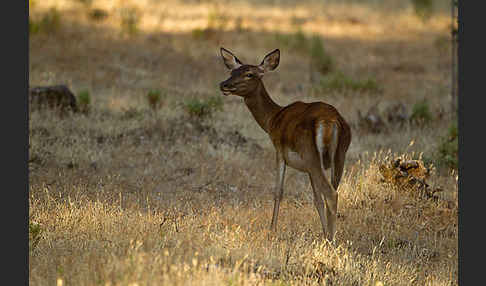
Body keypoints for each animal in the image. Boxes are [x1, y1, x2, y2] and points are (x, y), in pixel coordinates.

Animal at [218, 48, 352, 240]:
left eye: (249, 74)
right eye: (232, 72)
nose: (224, 85)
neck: (272, 119)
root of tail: (330, 122)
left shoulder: (279, 150)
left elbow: (278, 191)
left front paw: (272, 229)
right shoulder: (307, 167)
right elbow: (316, 199)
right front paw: (323, 231)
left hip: (310, 152)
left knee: (331, 193)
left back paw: (331, 241)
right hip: (338, 156)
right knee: (332, 191)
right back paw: (330, 237)